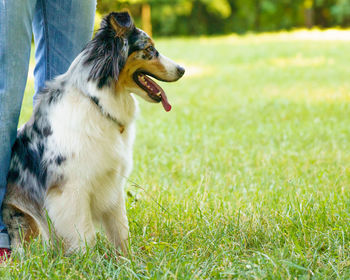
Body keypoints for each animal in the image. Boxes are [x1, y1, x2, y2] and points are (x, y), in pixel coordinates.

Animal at [2, 11, 185, 254]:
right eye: (149, 49)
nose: (183, 69)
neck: (97, 101)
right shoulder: (71, 189)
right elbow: (84, 235)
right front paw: (89, 260)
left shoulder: (112, 181)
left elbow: (120, 229)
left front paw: (127, 259)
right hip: (26, 219)